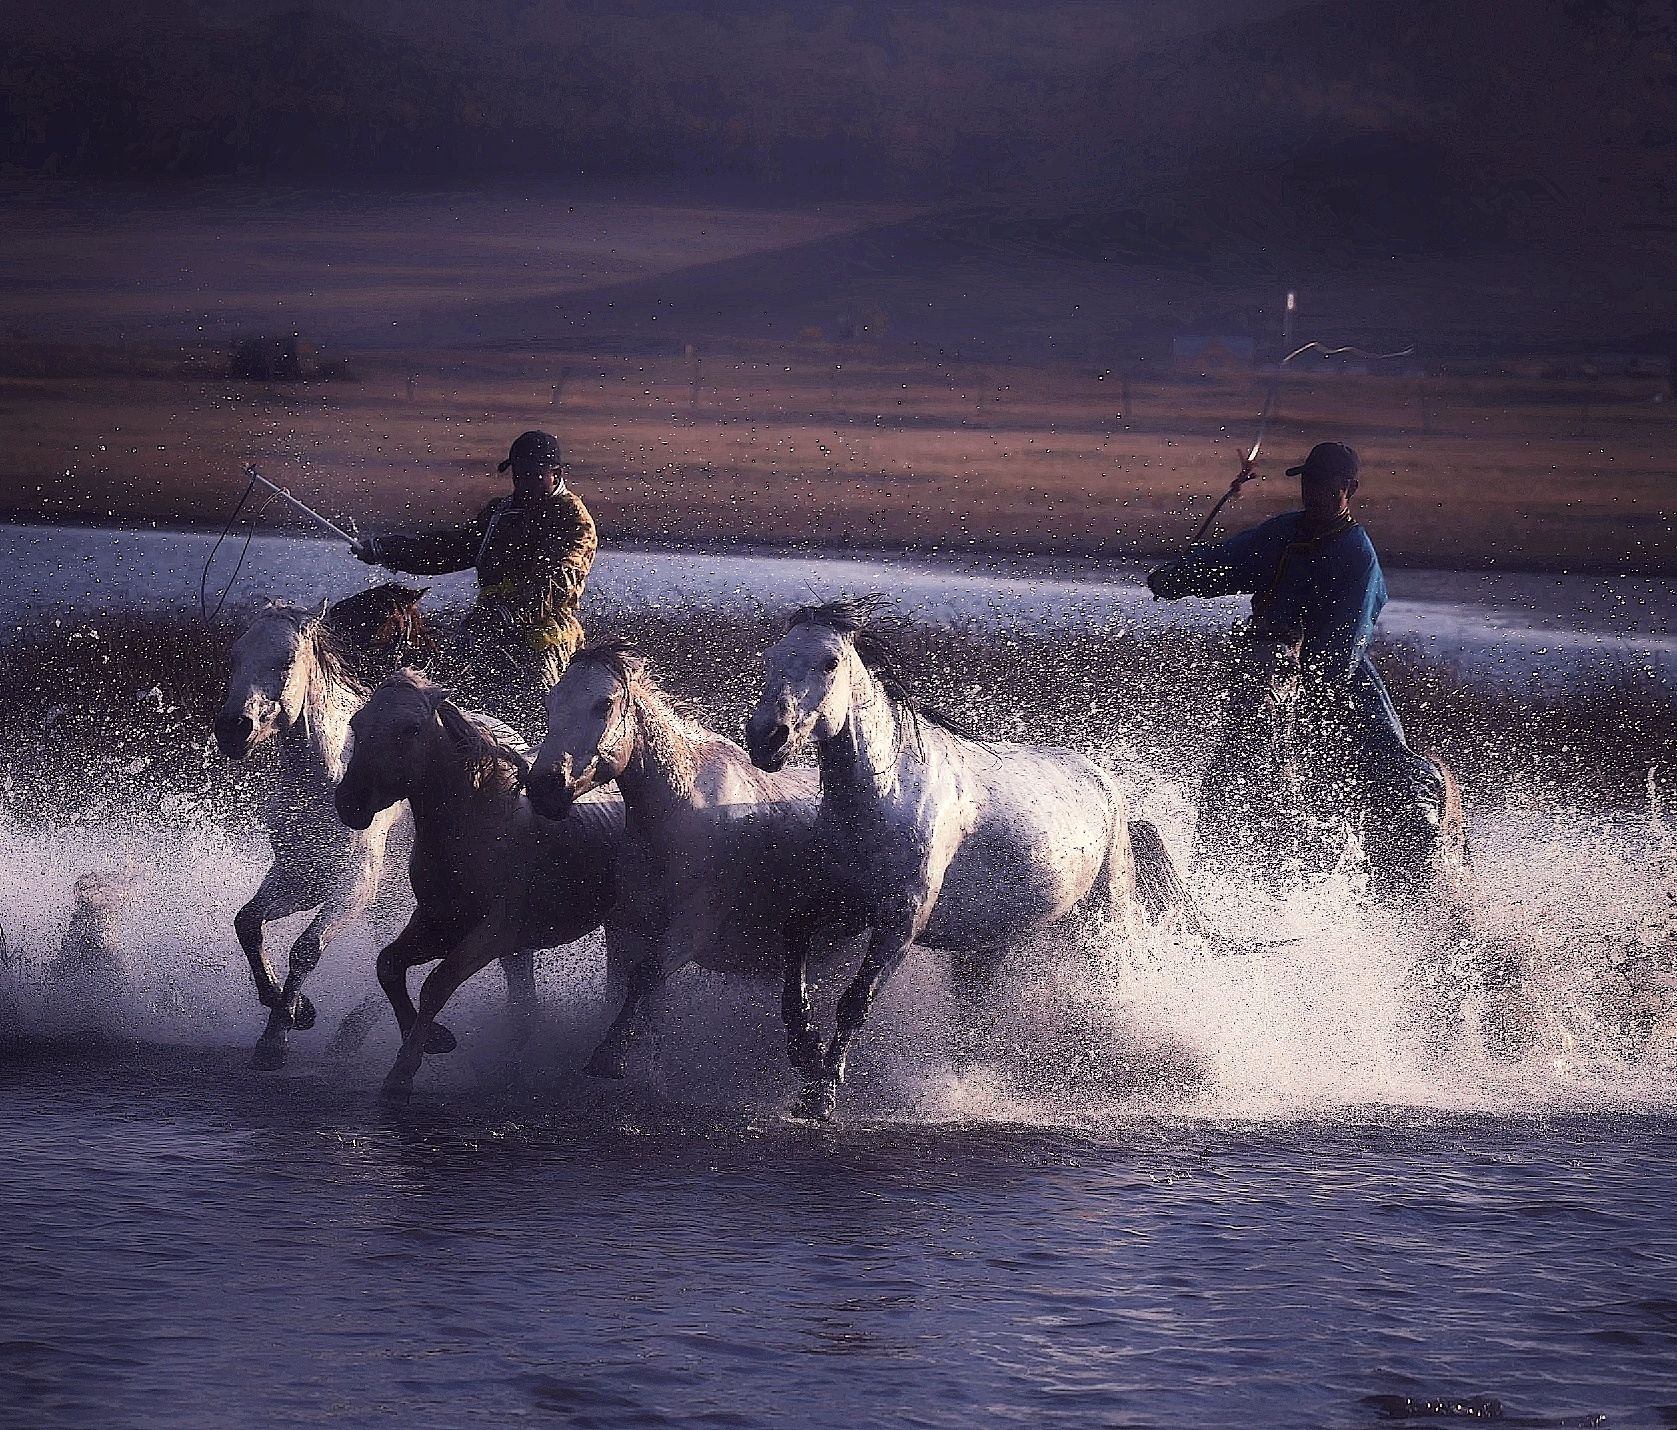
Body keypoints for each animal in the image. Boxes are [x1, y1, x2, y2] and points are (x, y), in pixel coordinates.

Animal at [212, 586, 425, 1066]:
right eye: (234, 656)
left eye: (286, 659)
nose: (232, 728)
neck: (327, 777)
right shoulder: (298, 877)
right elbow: (247, 923)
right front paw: (293, 1007)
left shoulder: (353, 888)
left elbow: (305, 949)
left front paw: (276, 1037)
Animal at [337, 673, 627, 1106]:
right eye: (357, 724)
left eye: (411, 729)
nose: (351, 802)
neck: (479, 827)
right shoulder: (438, 923)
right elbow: (388, 964)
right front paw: (436, 1039)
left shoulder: (494, 933)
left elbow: (436, 984)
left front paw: (403, 1073)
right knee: (528, 1006)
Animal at [523, 643, 865, 1079]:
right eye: (551, 703)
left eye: (605, 704)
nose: (544, 788)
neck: (681, 814)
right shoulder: (624, 928)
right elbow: (622, 990)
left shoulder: (691, 929)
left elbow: (645, 978)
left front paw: (611, 1055)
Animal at [747, 596, 1207, 1119]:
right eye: (770, 657)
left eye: (830, 662)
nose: (766, 738)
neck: (885, 796)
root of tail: (1108, 786)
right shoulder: (837, 903)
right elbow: (792, 971)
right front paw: (805, 1057)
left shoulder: (901, 921)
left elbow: (855, 1002)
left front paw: (821, 1094)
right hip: (987, 948)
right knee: (975, 1020)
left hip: (1103, 921)